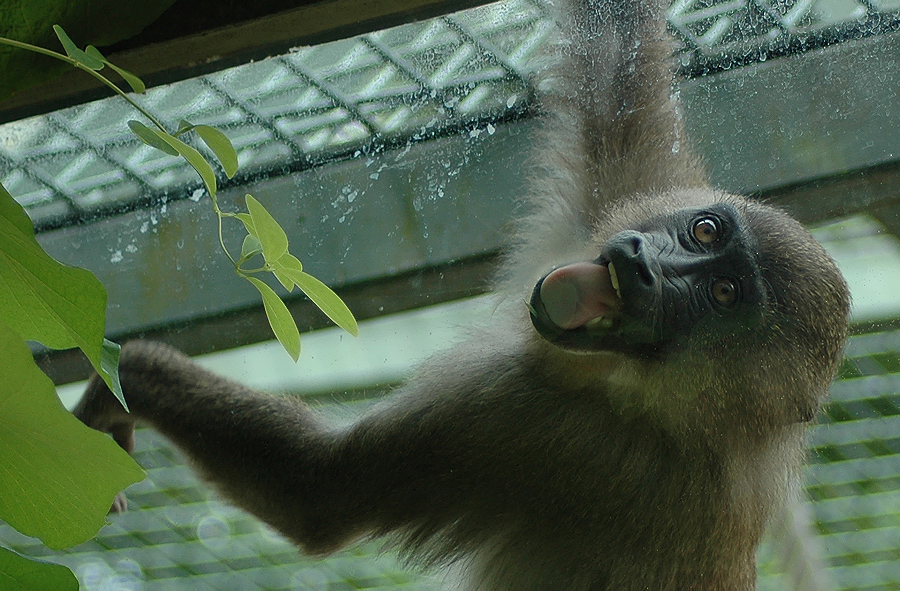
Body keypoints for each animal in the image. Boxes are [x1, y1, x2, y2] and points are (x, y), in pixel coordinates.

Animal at [72, 0, 852, 588]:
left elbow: (319, 490)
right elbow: (617, 56)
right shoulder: (633, 189)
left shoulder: (540, 434)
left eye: (722, 293)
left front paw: (125, 376)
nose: (639, 264)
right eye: (703, 229)